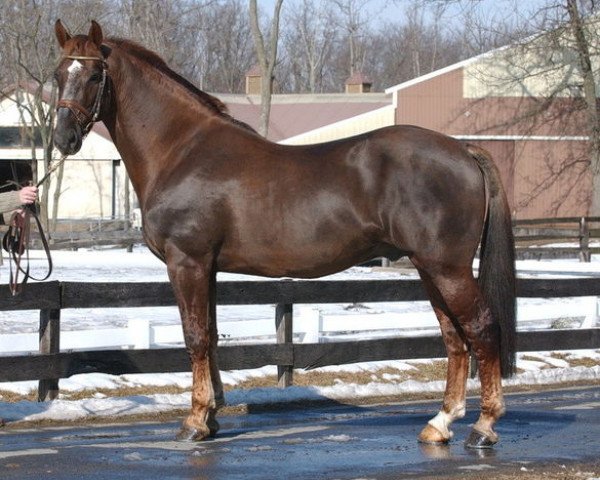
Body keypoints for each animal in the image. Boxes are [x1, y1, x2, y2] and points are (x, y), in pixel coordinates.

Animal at [52, 20, 516, 448]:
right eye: (58, 74)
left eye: (93, 76)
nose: (63, 138)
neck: (181, 149)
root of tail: (462, 150)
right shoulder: (208, 268)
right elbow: (212, 336)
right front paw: (213, 416)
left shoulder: (187, 262)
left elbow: (195, 337)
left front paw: (195, 421)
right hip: (429, 267)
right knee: (454, 338)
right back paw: (439, 424)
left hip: (448, 268)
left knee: (481, 328)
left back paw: (484, 427)